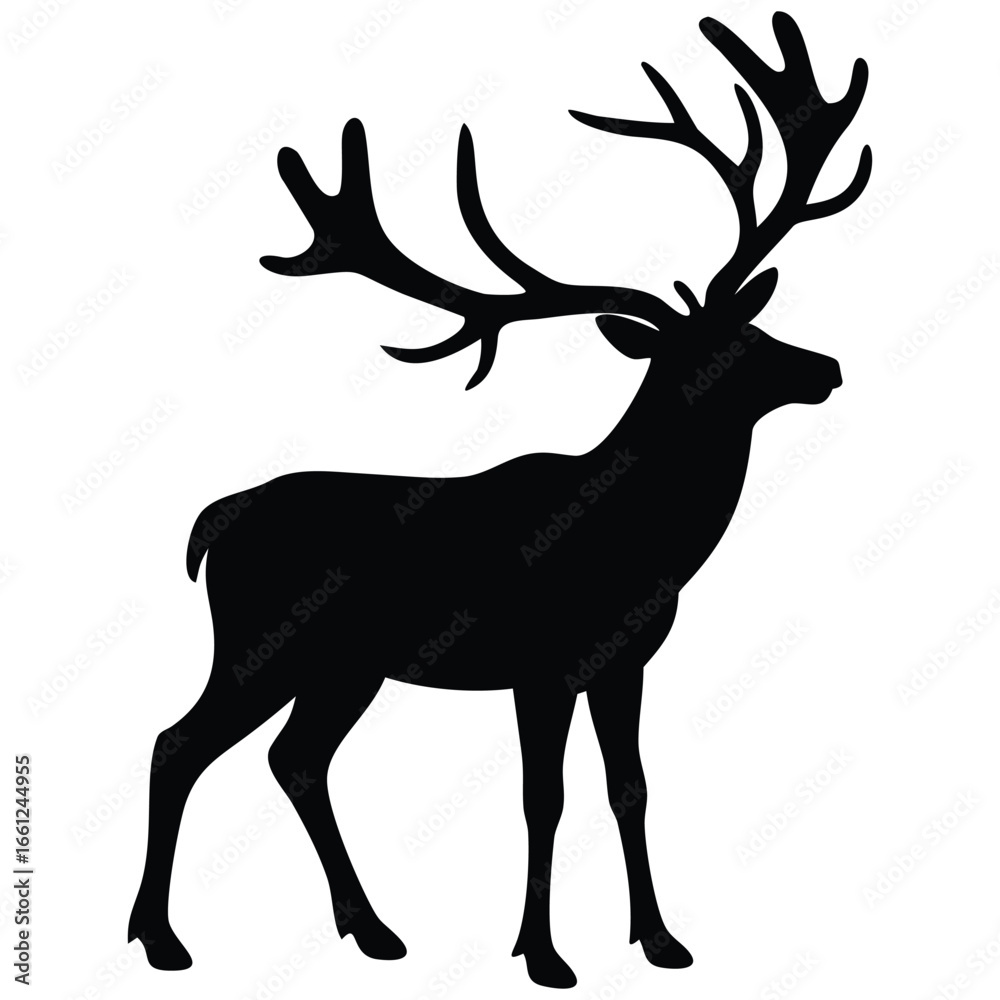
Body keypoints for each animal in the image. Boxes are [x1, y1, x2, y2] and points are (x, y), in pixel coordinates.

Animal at [128, 12, 869, 989]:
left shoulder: (624, 660)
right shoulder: (541, 662)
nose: (824, 367)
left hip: (344, 664)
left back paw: (371, 928)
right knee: (178, 742)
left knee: (295, 759)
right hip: (262, 641)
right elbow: (541, 798)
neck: (647, 540)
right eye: (704, 351)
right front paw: (543, 955)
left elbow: (629, 788)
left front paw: (660, 940)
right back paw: (160, 938)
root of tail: (212, 523)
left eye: (751, 325)